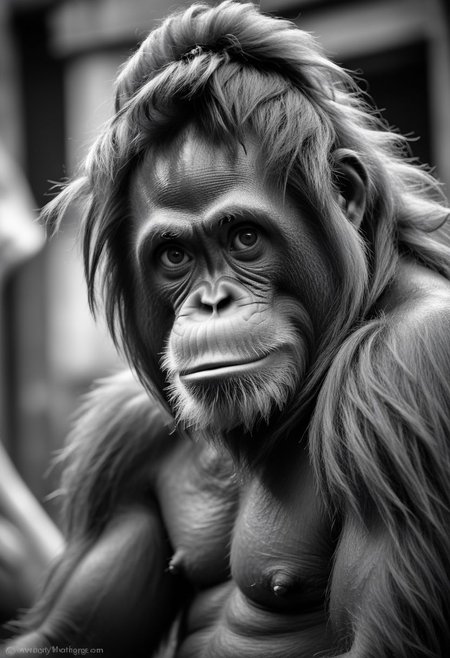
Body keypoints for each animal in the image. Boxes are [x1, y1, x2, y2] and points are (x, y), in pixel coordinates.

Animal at [4, 2, 450, 656]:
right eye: (174, 256)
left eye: (244, 237)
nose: (214, 302)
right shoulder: (122, 440)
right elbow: (66, 629)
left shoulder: (410, 367)